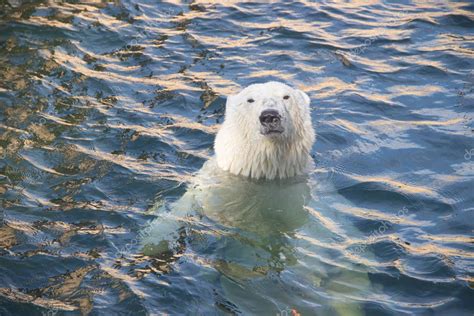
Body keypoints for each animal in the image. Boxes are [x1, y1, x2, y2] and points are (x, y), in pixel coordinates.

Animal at [141, 82, 370, 316]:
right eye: (250, 99)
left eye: (286, 97)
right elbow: (183, 206)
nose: (270, 116)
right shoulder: (216, 184)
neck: (263, 175)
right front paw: (153, 245)